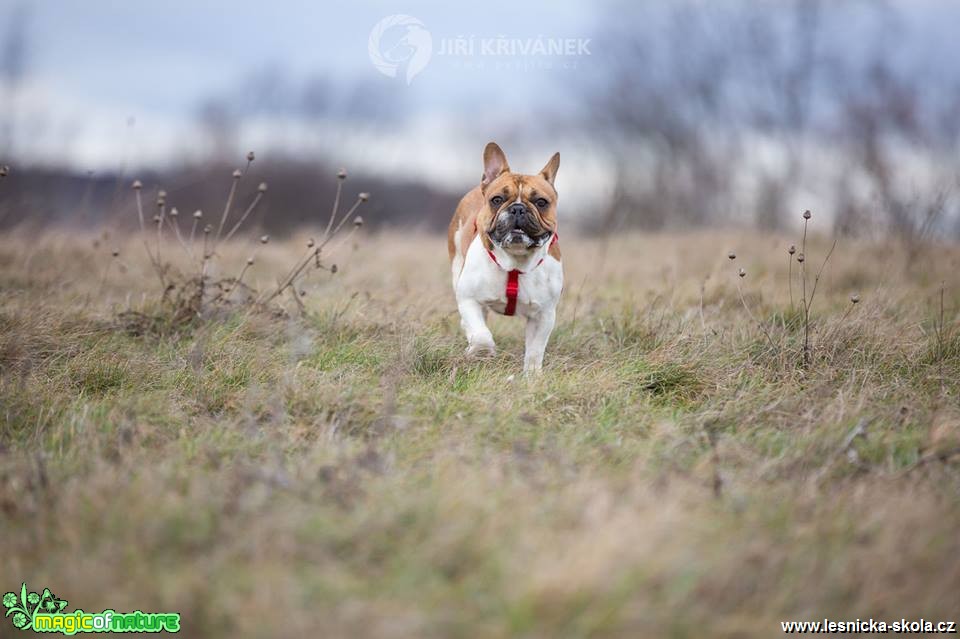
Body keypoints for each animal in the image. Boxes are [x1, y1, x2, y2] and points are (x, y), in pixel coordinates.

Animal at [448, 144, 564, 376]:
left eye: (541, 202)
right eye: (497, 200)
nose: (518, 208)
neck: (515, 262)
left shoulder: (544, 315)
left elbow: (535, 350)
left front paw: (532, 376)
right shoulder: (468, 299)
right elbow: (482, 336)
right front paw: (481, 352)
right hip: (456, 270)